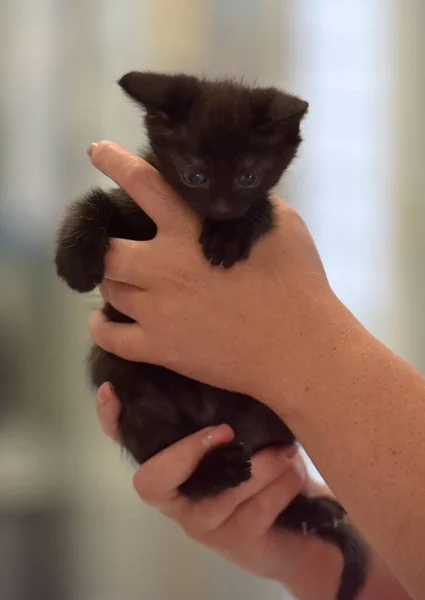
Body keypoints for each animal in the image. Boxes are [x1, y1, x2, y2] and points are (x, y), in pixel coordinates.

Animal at [54, 71, 366, 600]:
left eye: (248, 177)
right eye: (194, 176)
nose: (220, 209)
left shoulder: (264, 207)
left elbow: (261, 213)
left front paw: (229, 235)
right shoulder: (134, 204)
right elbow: (95, 202)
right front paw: (75, 260)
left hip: (276, 414)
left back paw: (309, 512)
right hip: (128, 384)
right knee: (177, 469)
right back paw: (217, 472)